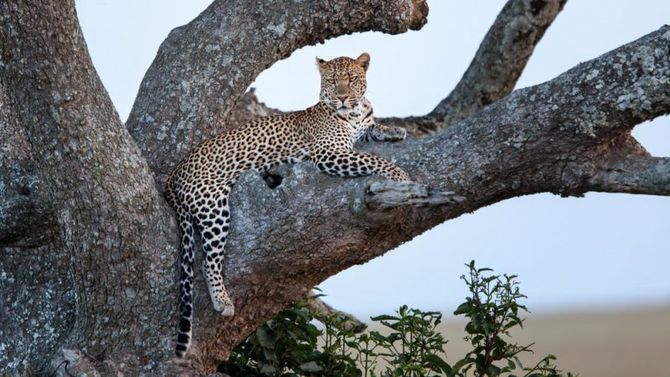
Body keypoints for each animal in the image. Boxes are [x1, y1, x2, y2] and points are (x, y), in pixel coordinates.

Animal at [165, 52, 412, 356]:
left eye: (352, 79)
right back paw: (222, 301)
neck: (352, 114)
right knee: (208, 260)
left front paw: (394, 130)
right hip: (213, 208)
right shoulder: (329, 154)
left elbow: (372, 127)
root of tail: (174, 175)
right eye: (333, 81)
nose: (342, 97)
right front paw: (400, 175)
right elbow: (372, 159)